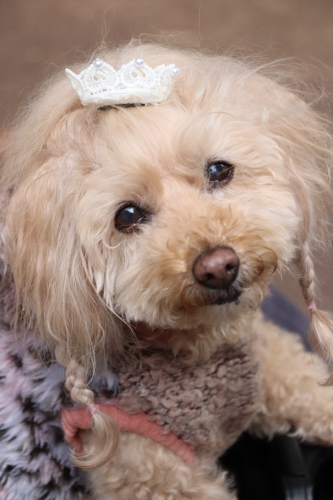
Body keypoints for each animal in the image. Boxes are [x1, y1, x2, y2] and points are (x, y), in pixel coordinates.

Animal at [1, 41, 332, 498]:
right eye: (127, 216)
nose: (218, 267)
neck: (197, 348)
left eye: (218, 170)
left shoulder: (264, 356)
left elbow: (303, 382)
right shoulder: (145, 464)